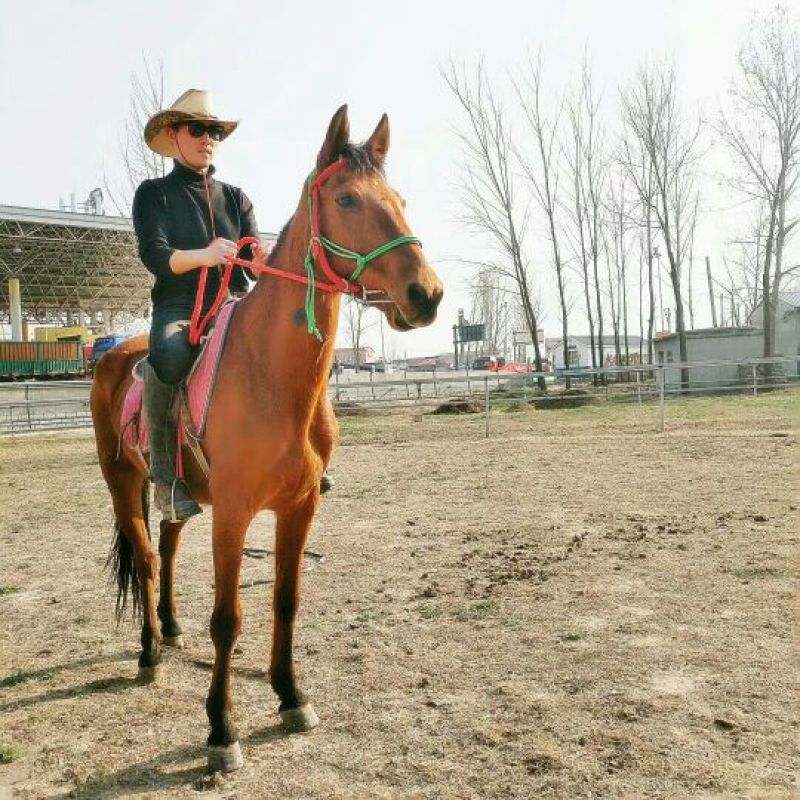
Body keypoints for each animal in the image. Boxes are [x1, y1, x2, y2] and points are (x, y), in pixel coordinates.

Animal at [90, 105, 444, 772]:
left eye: (403, 200)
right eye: (347, 198)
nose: (427, 294)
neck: (270, 376)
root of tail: (115, 354)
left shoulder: (299, 508)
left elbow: (286, 599)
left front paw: (290, 697)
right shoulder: (233, 513)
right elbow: (228, 619)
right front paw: (221, 730)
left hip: (172, 491)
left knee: (168, 545)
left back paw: (170, 629)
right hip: (121, 482)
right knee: (146, 557)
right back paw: (149, 654)